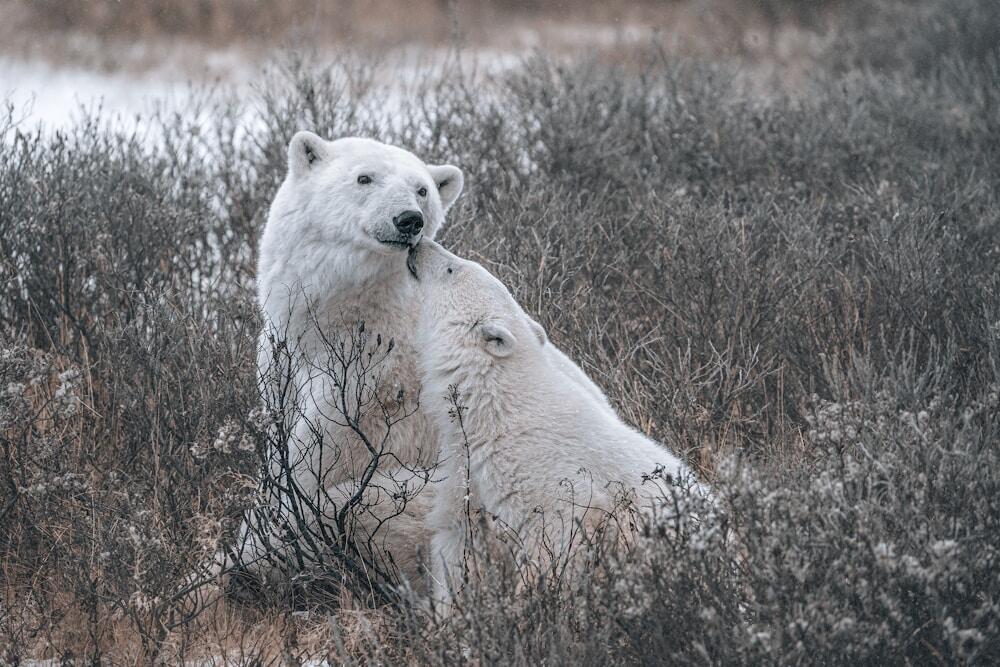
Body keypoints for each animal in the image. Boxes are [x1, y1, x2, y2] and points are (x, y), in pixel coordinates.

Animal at [235, 133, 464, 584]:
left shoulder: (370, 386)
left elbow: (311, 466)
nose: (409, 220)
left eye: (422, 189)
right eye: (364, 178)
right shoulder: (282, 360)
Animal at [406, 239, 705, 604]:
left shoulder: (550, 482)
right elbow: (458, 538)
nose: (418, 244)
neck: (499, 409)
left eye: (452, 268)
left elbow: (554, 542)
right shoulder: (468, 470)